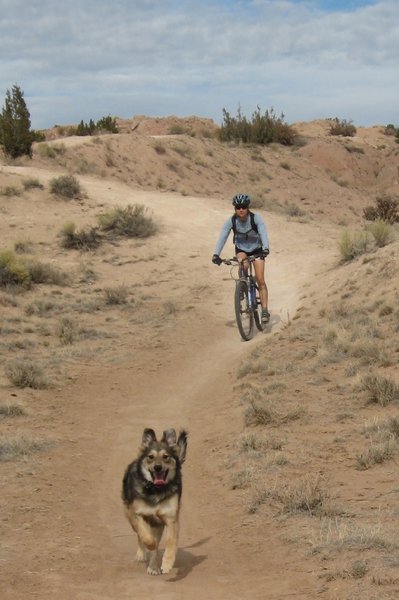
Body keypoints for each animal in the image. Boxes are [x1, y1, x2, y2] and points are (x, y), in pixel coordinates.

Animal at [122, 428, 188, 576]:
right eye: (150, 457)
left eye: (166, 456)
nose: (158, 467)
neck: (155, 489)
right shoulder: (137, 514)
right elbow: (145, 536)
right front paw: (149, 545)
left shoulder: (171, 519)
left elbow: (170, 542)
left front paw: (167, 564)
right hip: (130, 514)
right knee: (140, 535)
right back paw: (142, 554)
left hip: (158, 524)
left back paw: (153, 567)